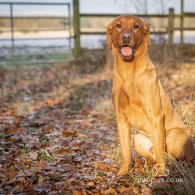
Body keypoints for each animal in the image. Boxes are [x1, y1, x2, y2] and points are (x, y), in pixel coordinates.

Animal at [106, 15, 193, 176]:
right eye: (118, 25)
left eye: (136, 26)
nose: (126, 37)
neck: (129, 72)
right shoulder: (121, 118)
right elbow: (125, 151)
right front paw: (123, 171)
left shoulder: (156, 115)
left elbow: (159, 151)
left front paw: (161, 172)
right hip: (138, 138)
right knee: (153, 153)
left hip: (174, 135)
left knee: (170, 155)